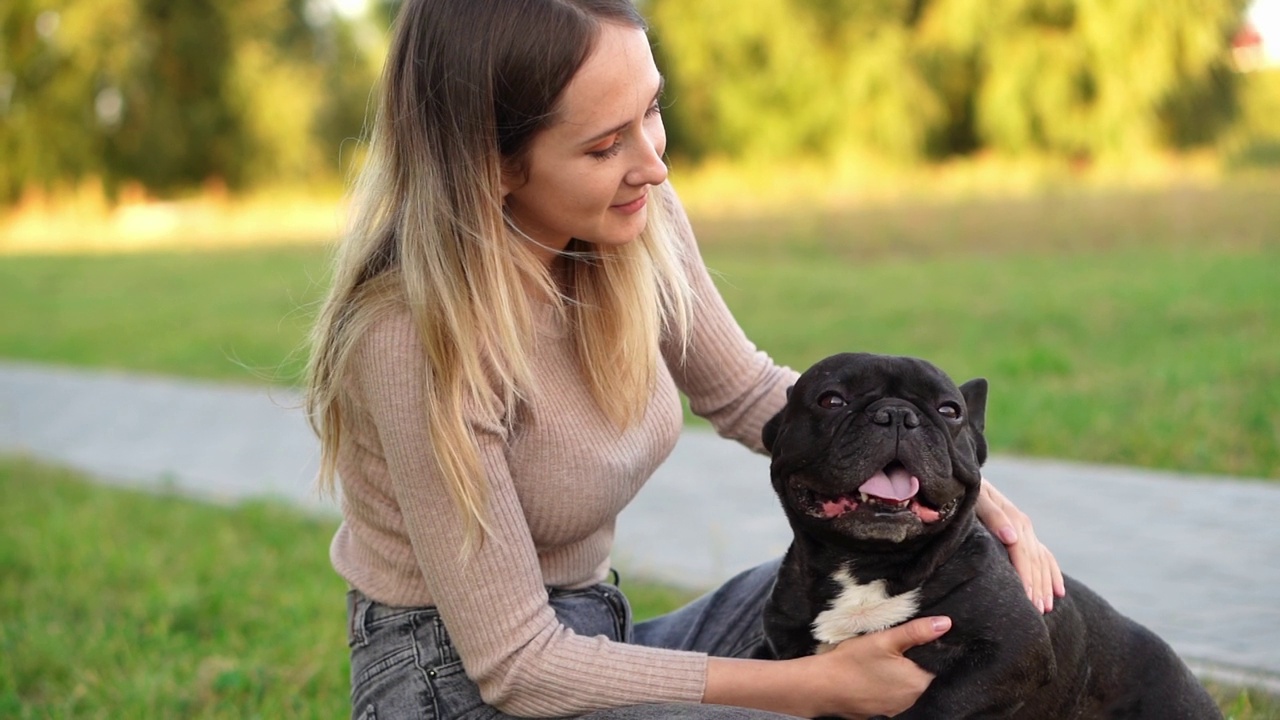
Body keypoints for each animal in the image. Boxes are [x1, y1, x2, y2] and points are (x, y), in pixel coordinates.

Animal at [757, 353, 1218, 717]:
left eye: (950, 411)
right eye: (831, 400)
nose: (897, 415)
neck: (869, 563)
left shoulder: (1010, 653)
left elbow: (939, 705)